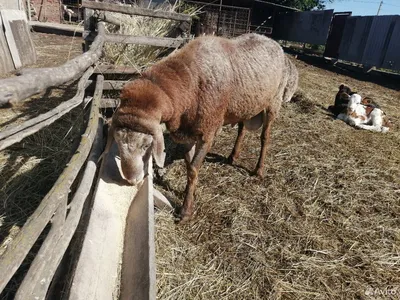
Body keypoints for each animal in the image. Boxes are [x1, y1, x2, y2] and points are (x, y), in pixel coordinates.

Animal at [104, 33, 298, 223]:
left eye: (147, 145)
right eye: (118, 144)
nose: (131, 180)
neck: (188, 83)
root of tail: (275, 43)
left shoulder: (208, 132)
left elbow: (193, 169)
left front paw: (185, 211)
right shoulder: (186, 133)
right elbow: (189, 165)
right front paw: (188, 192)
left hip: (273, 102)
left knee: (265, 137)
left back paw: (258, 170)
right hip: (245, 104)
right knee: (241, 129)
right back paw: (232, 156)